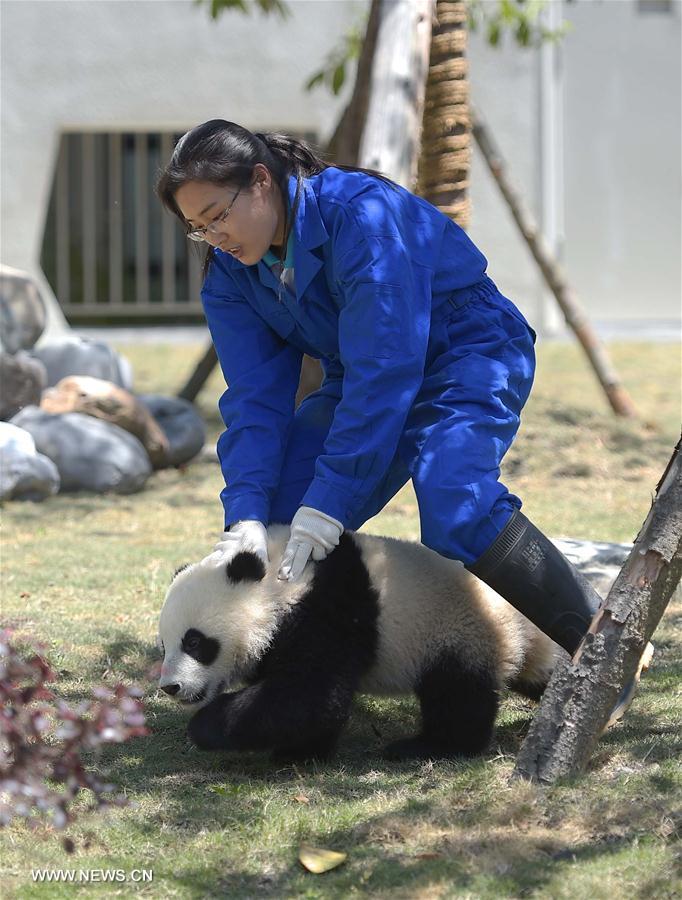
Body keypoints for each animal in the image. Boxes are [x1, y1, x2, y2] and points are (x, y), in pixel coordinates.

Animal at [157, 525, 558, 762]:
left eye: (195, 642)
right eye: (164, 645)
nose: (171, 687)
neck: (279, 581)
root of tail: (521, 624)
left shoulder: (327, 611)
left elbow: (311, 695)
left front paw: (206, 727)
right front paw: (303, 751)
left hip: (460, 632)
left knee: (457, 697)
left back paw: (427, 747)